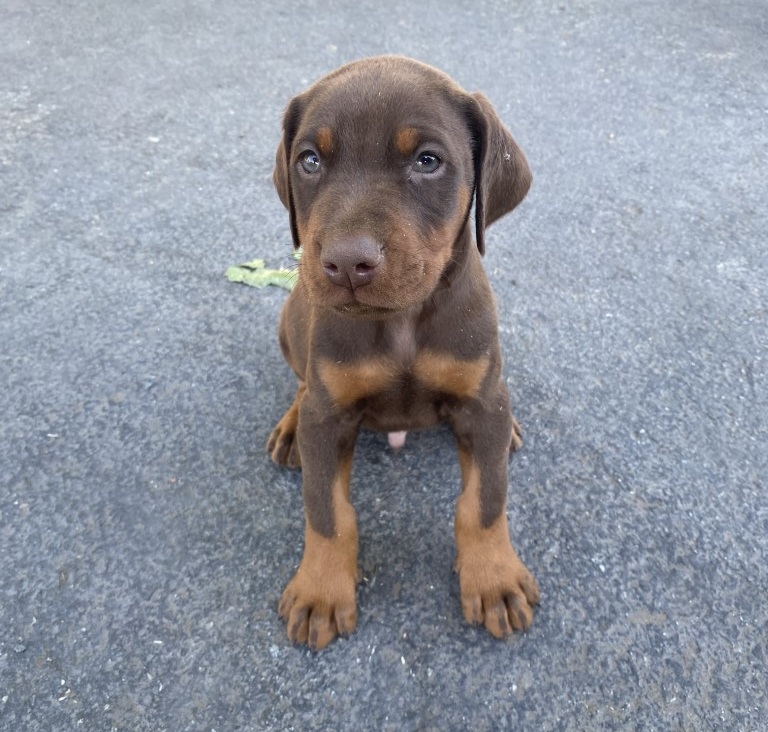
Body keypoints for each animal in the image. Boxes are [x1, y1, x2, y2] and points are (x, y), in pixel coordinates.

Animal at [270, 57, 540, 652]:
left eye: (427, 161)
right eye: (309, 160)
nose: (347, 264)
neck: (400, 323)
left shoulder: (480, 401)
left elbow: (485, 502)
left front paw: (493, 578)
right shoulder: (329, 417)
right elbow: (326, 511)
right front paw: (321, 589)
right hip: (291, 318)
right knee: (301, 385)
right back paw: (290, 425)